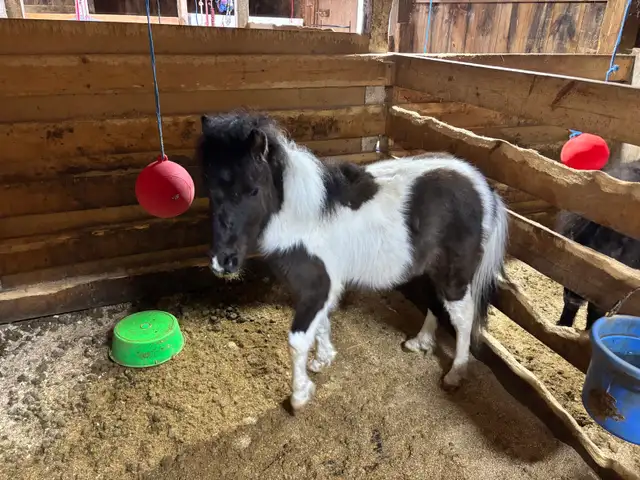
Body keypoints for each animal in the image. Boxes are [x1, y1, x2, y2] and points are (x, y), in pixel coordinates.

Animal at [196, 110, 509, 410]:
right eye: (211, 190)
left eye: (253, 189)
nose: (223, 262)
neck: (302, 218)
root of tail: (482, 186)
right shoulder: (315, 288)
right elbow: (321, 324)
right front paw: (323, 360)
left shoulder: (318, 286)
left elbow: (297, 341)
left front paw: (299, 395)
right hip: (431, 269)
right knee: (433, 303)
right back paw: (419, 343)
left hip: (454, 275)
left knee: (463, 317)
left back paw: (455, 374)